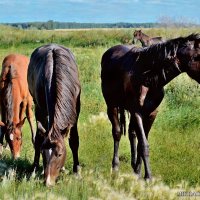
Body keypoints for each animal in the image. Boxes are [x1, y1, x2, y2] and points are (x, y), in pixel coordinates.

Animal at [27, 43, 81, 186]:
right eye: (43, 152)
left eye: (60, 154)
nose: (48, 182)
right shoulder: (39, 109)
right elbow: (39, 138)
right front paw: (34, 169)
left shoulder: (75, 112)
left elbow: (74, 140)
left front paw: (76, 171)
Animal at [101, 33, 200, 179]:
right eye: (197, 56)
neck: (147, 78)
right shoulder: (137, 112)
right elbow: (143, 145)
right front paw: (148, 177)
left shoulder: (151, 114)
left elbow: (141, 143)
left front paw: (138, 173)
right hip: (112, 106)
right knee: (117, 133)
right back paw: (115, 167)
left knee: (131, 134)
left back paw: (132, 165)